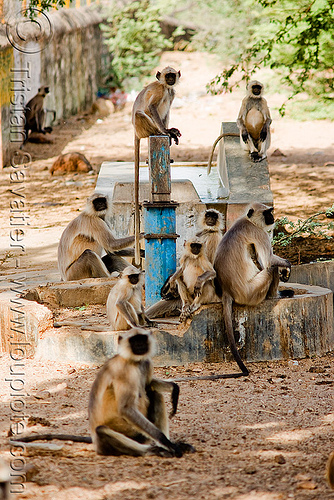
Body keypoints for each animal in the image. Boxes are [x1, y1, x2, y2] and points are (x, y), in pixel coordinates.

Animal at [88, 328, 196, 458]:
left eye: (142, 339)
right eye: (134, 341)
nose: (140, 345)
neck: (134, 361)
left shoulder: (146, 362)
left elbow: (148, 385)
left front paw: (174, 389)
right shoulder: (123, 371)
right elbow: (126, 408)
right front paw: (166, 442)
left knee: (156, 394)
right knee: (101, 430)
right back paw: (156, 450)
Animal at [131, 68, 183, 268]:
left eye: (172, 75)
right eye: (167, 76)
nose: (170, 79)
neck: (166, 87)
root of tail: (135, 132)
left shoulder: (171, 92)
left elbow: (166, 112)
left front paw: (169, 131)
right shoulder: (160, 90)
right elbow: (153, 107)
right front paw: (166, 132)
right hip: (142, 125)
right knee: (142, 113)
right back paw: (160, 132)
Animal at [214, 203, 292, 376]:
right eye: (267, 213)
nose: (273, 218)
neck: (249, 221)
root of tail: (227, 290)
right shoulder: (259, 233)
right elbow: (268, 261)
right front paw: (287, 266)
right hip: (251, 292)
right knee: (270, 269)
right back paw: (276, 295)